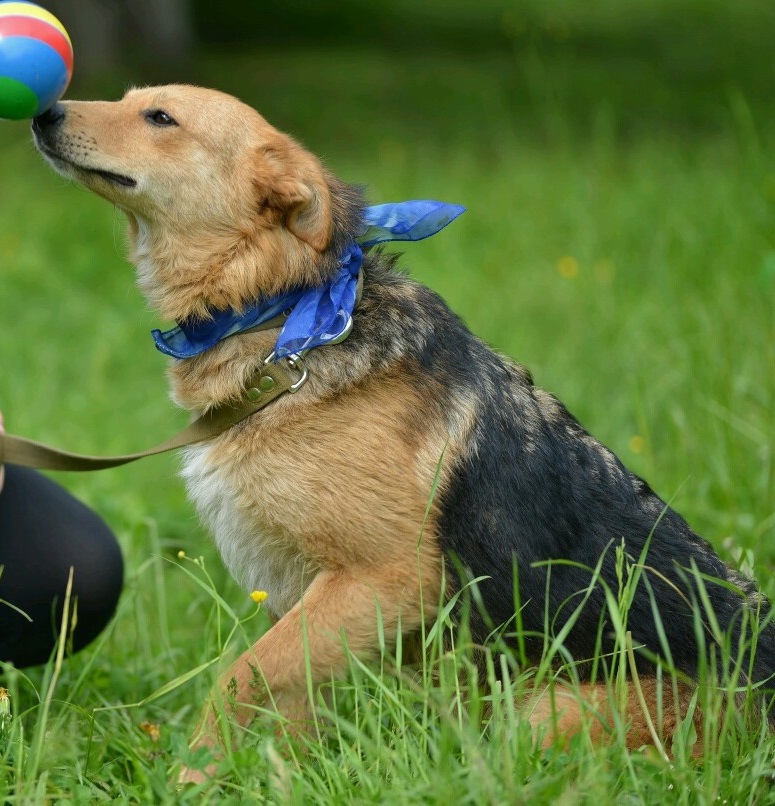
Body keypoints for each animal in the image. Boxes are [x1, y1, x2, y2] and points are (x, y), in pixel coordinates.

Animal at [28, 85, 768, 780]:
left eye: (160, 118)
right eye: (128, 101)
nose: (42, 113)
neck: (284, 311)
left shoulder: (382, 580)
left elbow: (242, 678)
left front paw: (193, 775)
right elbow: (287, 704)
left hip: (545, 715)